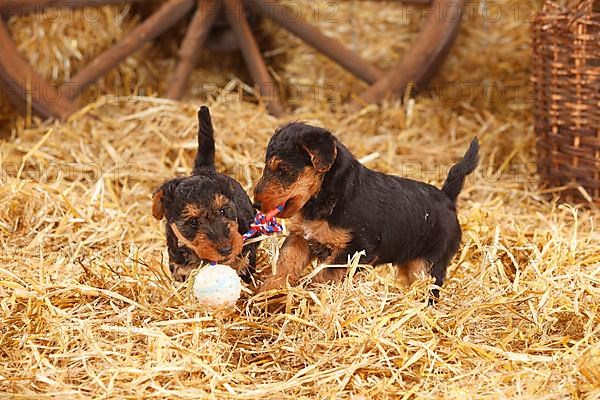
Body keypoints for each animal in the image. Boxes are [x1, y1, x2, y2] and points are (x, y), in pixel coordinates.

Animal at [152, 106, 255, 282]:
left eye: (223, 210)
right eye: (193, 222)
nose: (226, 250)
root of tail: (204, 169)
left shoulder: (246, 257)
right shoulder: (179, 267)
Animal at [253, 123, 478, 298]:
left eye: (283, 170)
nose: (256, 204)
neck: (327, 194)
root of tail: (447, 197)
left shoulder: (356, 248)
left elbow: (322, 276)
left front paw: (307, 294)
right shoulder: (300, 238)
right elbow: (285, 265)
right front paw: (268, 294)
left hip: (428, 264)